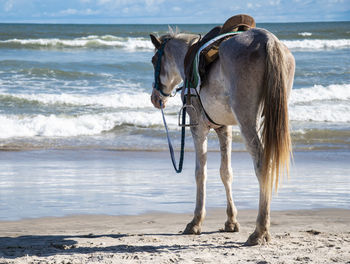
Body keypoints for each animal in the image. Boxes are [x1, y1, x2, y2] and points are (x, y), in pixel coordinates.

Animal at [149, 26, 294, 245]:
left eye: (153, 60)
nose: (155, 98)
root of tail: (266, 39)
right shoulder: (224, 128)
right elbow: (226, 172)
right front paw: (231, 221)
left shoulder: (198, 127)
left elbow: (200, 173)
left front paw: (196, 222)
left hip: (247, 121)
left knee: (262, 165)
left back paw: (260, 230)